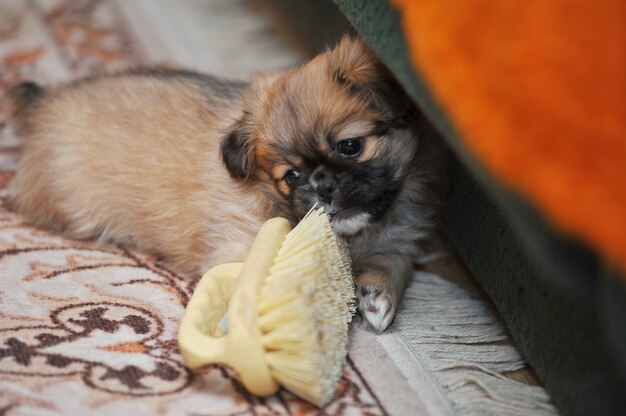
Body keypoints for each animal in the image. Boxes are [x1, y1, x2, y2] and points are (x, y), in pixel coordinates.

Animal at [3, 37, 444, 334]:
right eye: (291, 176)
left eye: (350, 146)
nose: (321, 184)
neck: (354, 238)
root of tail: (44, 104)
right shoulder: (242, 241)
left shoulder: (399, 242)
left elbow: (391, 266)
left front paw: (378, 296)